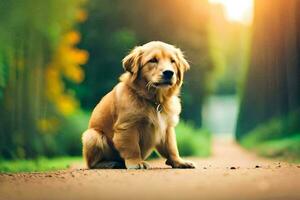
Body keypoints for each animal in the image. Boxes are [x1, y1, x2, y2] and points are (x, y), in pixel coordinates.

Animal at [81, 41, 195, 169]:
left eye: (173, 61)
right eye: (153, 60)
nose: (169, 73)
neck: (154, 101)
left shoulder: (167, 128)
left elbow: (172, 147)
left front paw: (179, 161)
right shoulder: (127, 127)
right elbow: (132, 148)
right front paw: (136, 162)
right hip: (92, 135)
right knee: (92, 164)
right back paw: (110, 163)